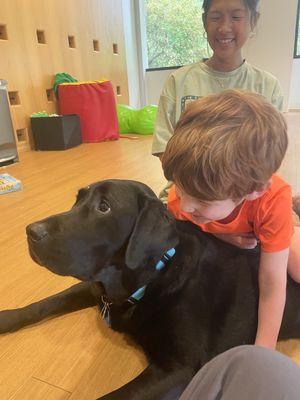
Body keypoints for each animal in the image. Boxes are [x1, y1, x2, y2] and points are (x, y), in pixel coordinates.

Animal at [0, 180, 300, 398]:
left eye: (104, 207)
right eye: (77, 200)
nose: (31, 231)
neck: (156, 275)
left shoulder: (180, 368)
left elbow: (115, 397)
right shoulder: (97, 288)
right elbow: (47, 302)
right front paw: (7, 317)